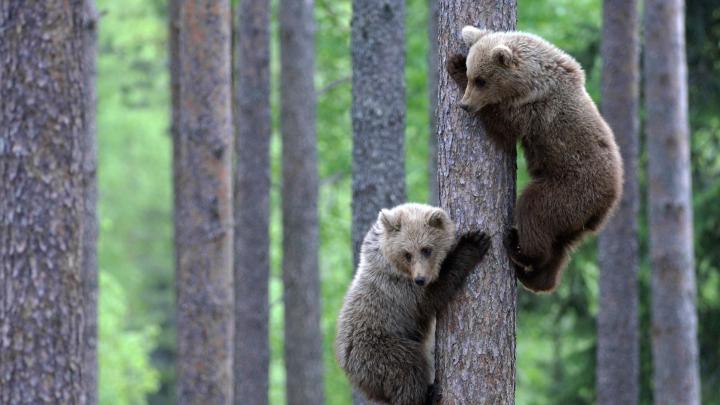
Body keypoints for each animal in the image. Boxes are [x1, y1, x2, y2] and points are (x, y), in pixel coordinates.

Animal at [335, 203, 491, 405]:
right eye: (407, 254)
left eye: (426, 249)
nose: (420, 279)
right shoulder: (400, 289)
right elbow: (431, 297)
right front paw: (473, 242)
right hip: (379, 348)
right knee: (407, 369)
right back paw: (429, 394)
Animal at [446, 26, 623, 293]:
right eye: (473, 74)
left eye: (480, 80)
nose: (465, 105)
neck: (531, 81)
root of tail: (608, 202)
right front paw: (461, 49)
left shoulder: (534, 112)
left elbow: (503, 128)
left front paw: (453, 65)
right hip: (576, 218)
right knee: (560, 245)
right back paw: (536, 277)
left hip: (570, 189)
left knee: (534, 211)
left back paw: (518, 247)